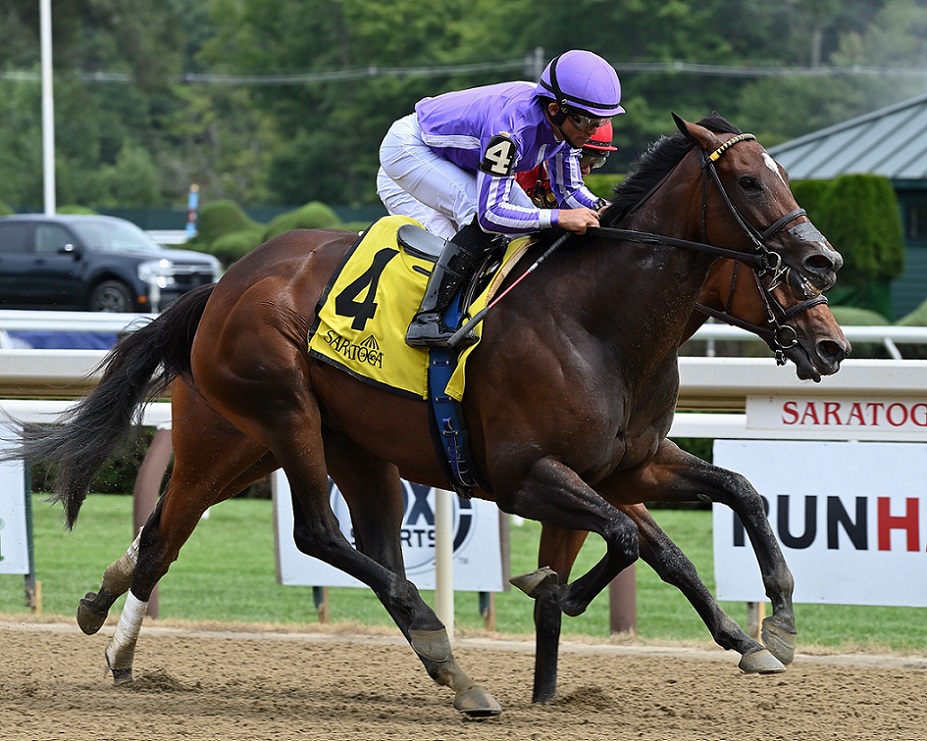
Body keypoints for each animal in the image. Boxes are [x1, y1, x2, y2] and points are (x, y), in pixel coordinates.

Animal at [4, 113, 844, 718]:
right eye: (749, 180)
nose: (824, 267)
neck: (599, 321)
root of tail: (225, 282)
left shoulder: (629, 463)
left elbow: (731, 499)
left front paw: (765, 631)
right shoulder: (526, 472)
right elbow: (627, 537)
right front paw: (553, 586)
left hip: (278, 445)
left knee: (169, 538)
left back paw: (107, 623)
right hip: (280, 416)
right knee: (315, 533)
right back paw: (445, 652)